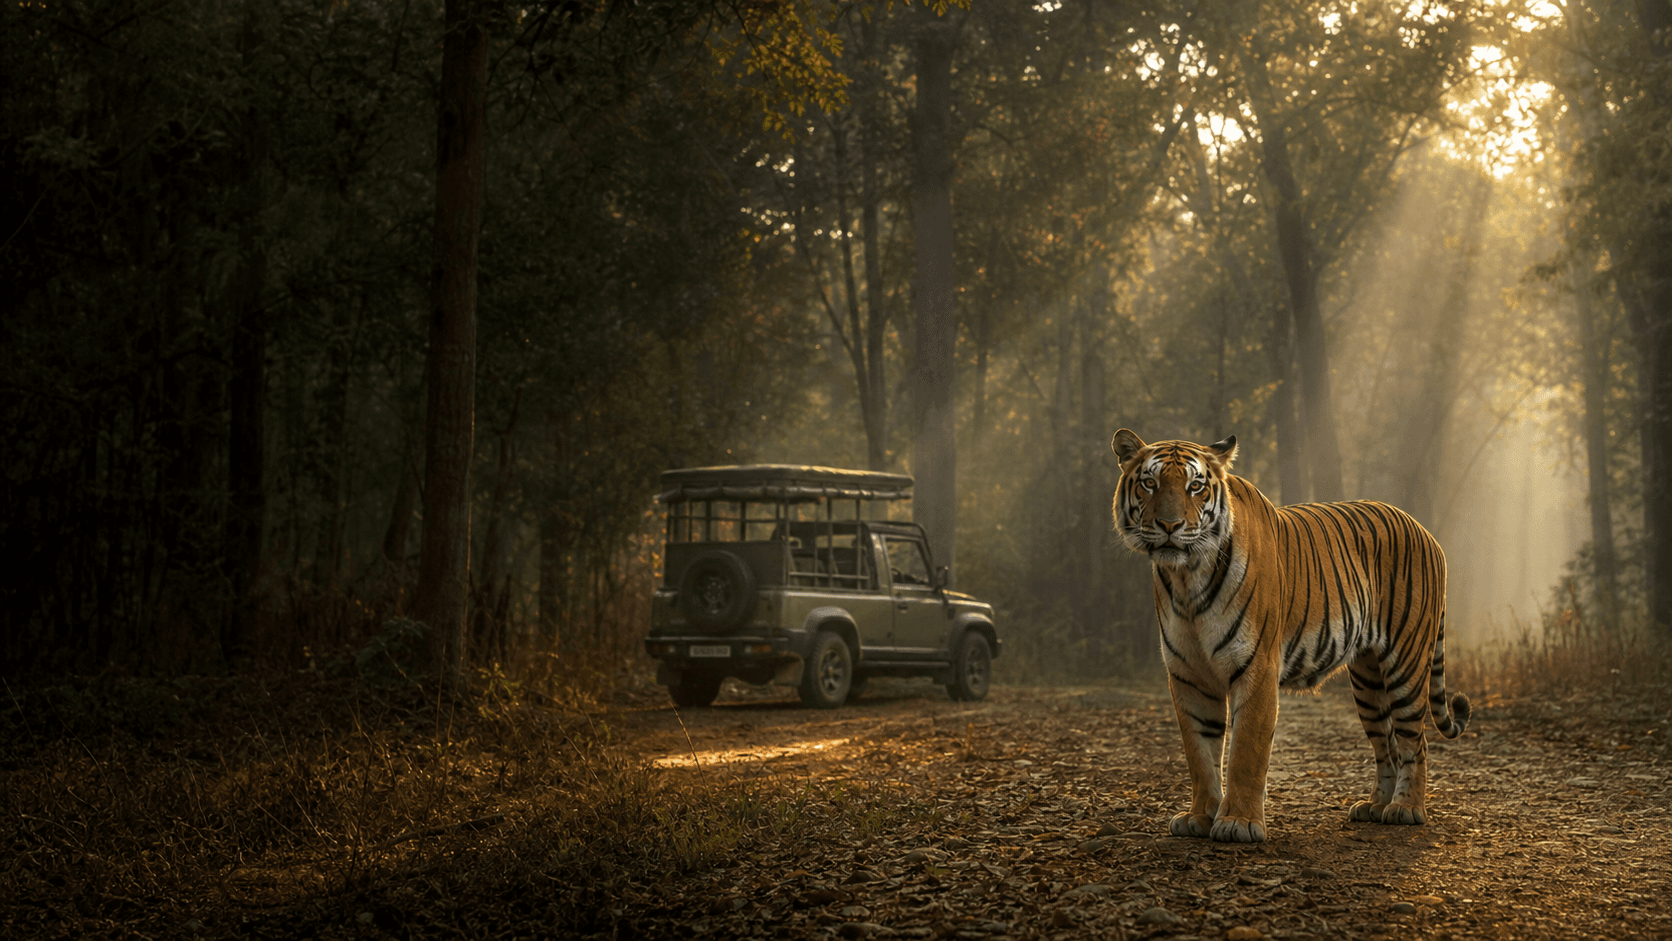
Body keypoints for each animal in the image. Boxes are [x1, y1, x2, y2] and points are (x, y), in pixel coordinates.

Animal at [1110, 429, 1470, 843]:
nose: (1170, 525)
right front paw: (1199, 816)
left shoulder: (1256, 666)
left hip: (1406, 665)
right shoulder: (1189, 675)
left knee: (1416, 740)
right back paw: (1375, 806)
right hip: (1368, 681)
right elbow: (1199, 751)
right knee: (1387, 744)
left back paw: (1406, 809)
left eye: (1195, 486)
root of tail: (1426, 532)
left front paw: (1238, 822)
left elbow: (1246, 750)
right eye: (1149, 483)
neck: (1187, 578)